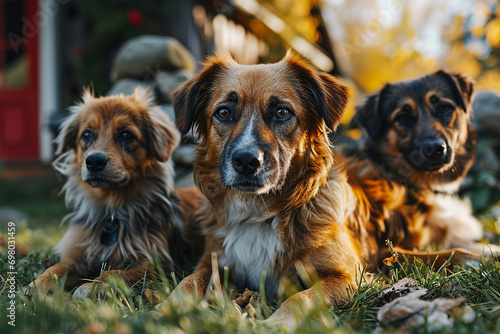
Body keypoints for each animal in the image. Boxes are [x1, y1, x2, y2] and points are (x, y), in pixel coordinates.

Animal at [30, 88, 203, 294]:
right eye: (86, 134)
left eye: (126, 135)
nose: (94, 161)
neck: (111, 208)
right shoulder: (77, 252)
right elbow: (57, 268)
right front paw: (39, 283)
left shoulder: (154, 262)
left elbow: (117, 273)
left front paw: (94, 286)